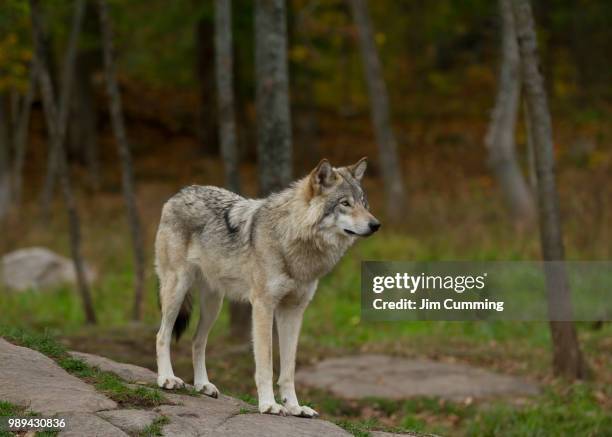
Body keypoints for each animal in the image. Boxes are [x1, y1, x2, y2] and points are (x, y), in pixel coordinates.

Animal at [154, 158, 378, 418]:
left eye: (364, 203)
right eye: (345, 203)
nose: (376, 224)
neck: (291, 239)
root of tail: (179, 193)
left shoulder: (293, 311)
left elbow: (289, 368)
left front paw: (295, 407)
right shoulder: (263, 306)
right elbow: (266, 363)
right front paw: (269, 404)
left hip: (213, 305)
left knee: (197, 341)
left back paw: (203, 385)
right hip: (177, 289)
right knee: (162, 334)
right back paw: (167, 379)